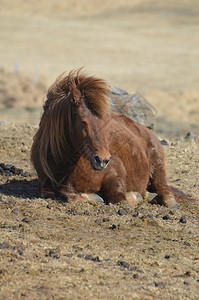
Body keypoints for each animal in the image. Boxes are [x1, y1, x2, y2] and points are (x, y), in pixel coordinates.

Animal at [31, 69, 193, 209]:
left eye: (105, 121)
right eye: (83, 121)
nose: (102, 159)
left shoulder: (115, 173)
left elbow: (119, 197)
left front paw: (134, 197)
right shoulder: (45, 187)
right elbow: (66, 196)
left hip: (157, 162)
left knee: (163, 188)